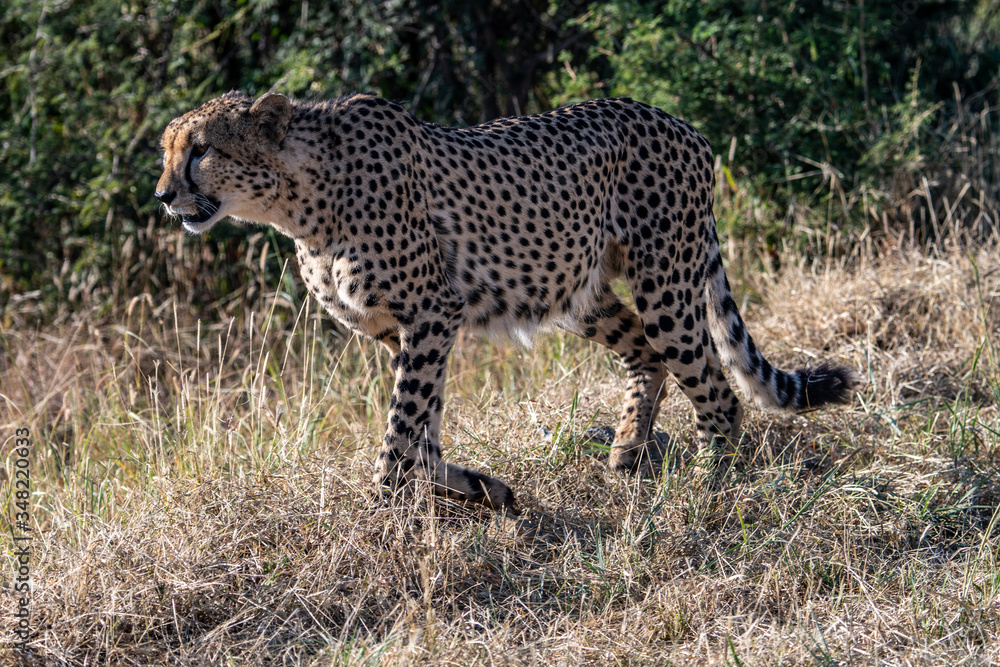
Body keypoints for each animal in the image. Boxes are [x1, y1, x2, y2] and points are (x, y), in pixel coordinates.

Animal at [155, 91, 860, 512]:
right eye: (168, 151)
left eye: (202, 149)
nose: (163, 195)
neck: (300, 200)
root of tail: (680, 123)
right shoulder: (404, 331)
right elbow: (424, 429)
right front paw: (480, 490)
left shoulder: (431, 313)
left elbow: (402, 428)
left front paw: (380, 512)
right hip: (577, 290)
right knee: (647, 355)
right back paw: (626, 457)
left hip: (665, 282)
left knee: (715, 388)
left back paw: (712, 486)